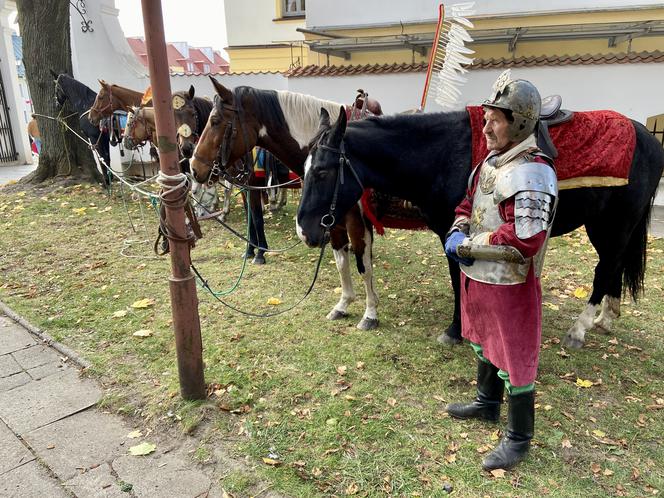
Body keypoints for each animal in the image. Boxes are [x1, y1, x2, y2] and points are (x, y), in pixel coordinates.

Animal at [300, 108, 664, 350]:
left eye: (321, 171)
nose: (304, 230)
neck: (442, 154)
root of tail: (649, 139)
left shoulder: (455, 235)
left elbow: (457, 279)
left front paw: (456, 329)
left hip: (613, 225)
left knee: (606, 269)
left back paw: (580, 329)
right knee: (613, 266)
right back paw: (606, 318)